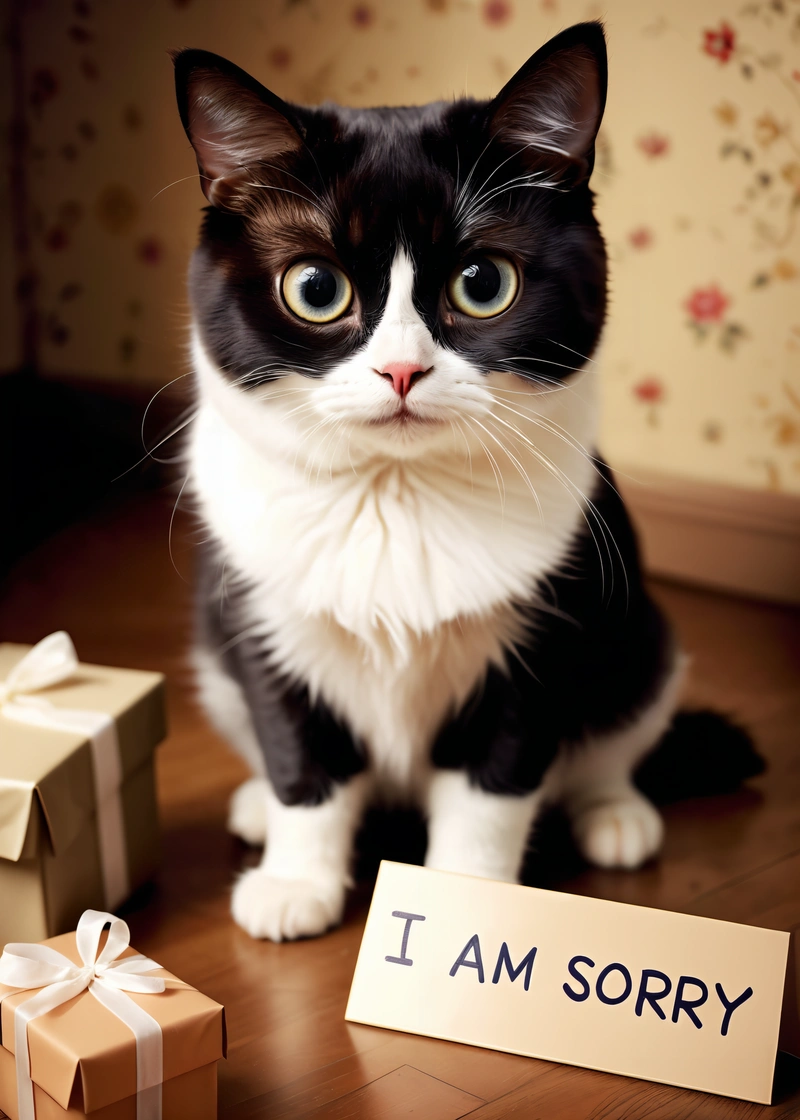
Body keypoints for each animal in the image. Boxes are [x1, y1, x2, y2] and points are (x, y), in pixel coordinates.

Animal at [172, 21, 761, 940]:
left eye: (483, 284)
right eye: (315, 288)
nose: (402, 371)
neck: (395, 494)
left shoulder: (545, 634)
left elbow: (495, 786)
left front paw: (460, 913)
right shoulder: (260, 617)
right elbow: (302, 755)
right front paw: (296, 879)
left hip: (643, 642)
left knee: (616, 739)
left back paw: (615, 814)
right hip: (215, 658)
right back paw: (258, 811)